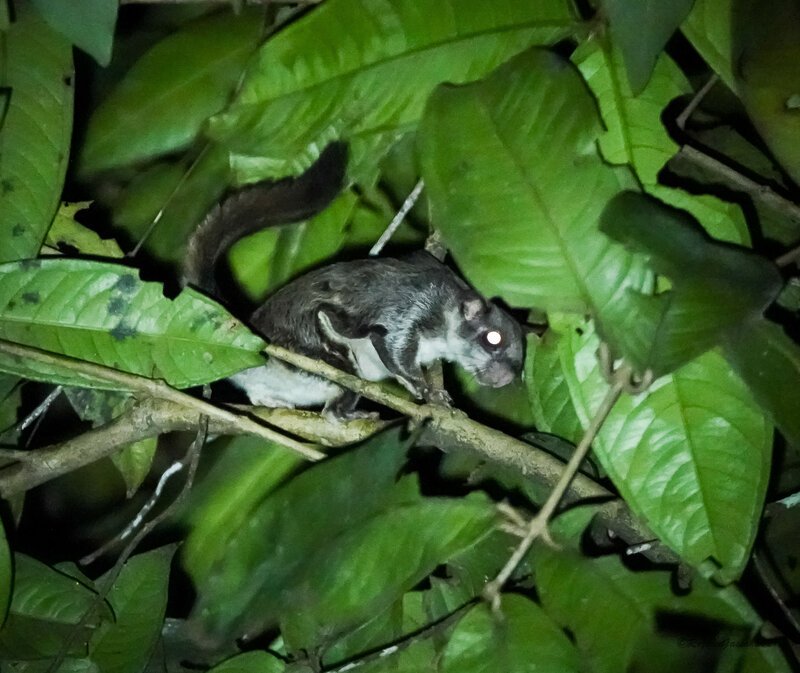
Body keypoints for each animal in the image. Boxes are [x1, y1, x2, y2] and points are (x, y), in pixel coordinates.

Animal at [183, 143, 524, 418]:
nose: (506, 379)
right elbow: (391, 343)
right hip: (315, 351)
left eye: (521, 360)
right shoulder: (414, 305)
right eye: (493, 338)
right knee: (336, 383)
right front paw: (424, 388)